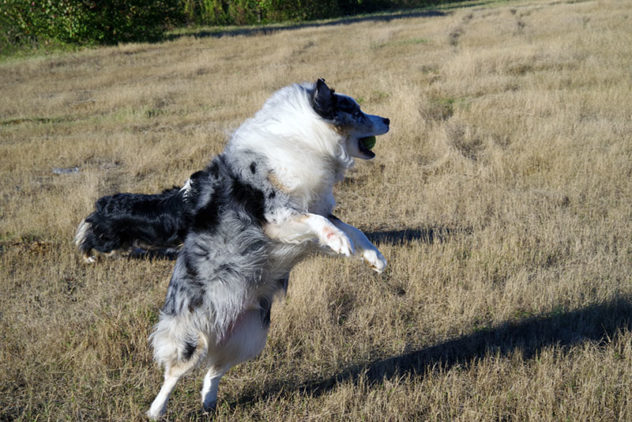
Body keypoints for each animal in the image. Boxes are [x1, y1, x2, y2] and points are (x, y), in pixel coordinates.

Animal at [144, 79, 390, 418]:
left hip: (249, 337)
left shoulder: (315, 208)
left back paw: (209, 401)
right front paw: (339, 241)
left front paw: (374, 257)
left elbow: (354, 229)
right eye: (354, 109)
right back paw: (156, 410)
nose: (388, 119)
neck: (306, 138)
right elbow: (321, 223)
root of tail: (222, 325)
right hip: (192, 334)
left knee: (213, 371)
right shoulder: (277, 217)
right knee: (174, 374)